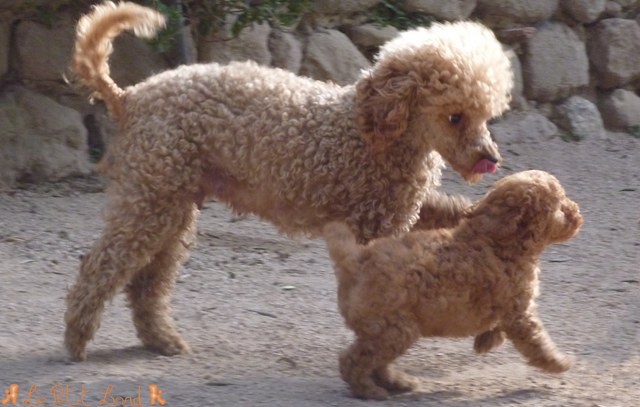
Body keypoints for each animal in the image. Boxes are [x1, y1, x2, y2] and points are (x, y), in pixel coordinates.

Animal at [66, 1, 516, 362]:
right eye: (454, 116)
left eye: (485, 114)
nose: (490, 160)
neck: (370, 133)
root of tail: (130, 98)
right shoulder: (373, 225)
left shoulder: (401, 211)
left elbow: (454, 211)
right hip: (152, 202)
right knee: (101, 266)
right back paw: (77, 340)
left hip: (170, 206)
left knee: (146, 283)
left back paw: (160, 339)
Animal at [324, 170, 584, 402]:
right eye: (560, 206)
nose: (577, 213)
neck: (496, 240)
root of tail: (355, 261)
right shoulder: (519, 313)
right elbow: (536, 342)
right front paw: (558, 362)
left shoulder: (510, 308)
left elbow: (497, 327)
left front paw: (485, 341)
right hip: (394, 328)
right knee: (353, 360)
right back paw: (369, 390)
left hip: (385, 330)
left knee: (376, 362)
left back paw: (398, 382)